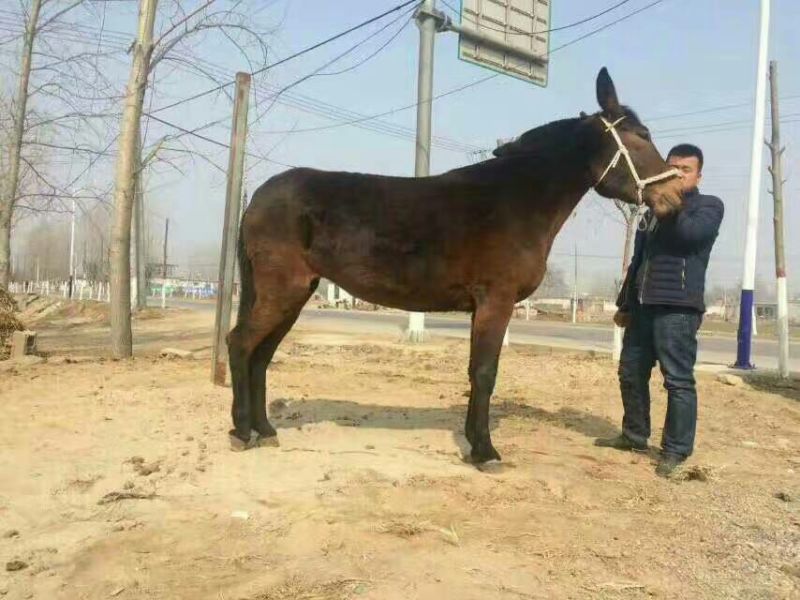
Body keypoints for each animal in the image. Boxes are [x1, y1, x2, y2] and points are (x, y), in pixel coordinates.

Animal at [226, 67, 683, 463]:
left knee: (261, 354)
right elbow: (484, 372)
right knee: (241, 343)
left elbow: (475, 372)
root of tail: (258, 198)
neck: (518, 199)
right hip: (282, 288)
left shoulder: (484, 307)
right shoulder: (496, 301)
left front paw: (472, 440)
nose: (675, 196)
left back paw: (266, 430)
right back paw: (242, 431)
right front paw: (485, 451)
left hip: (295, 292)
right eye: (640, 137)